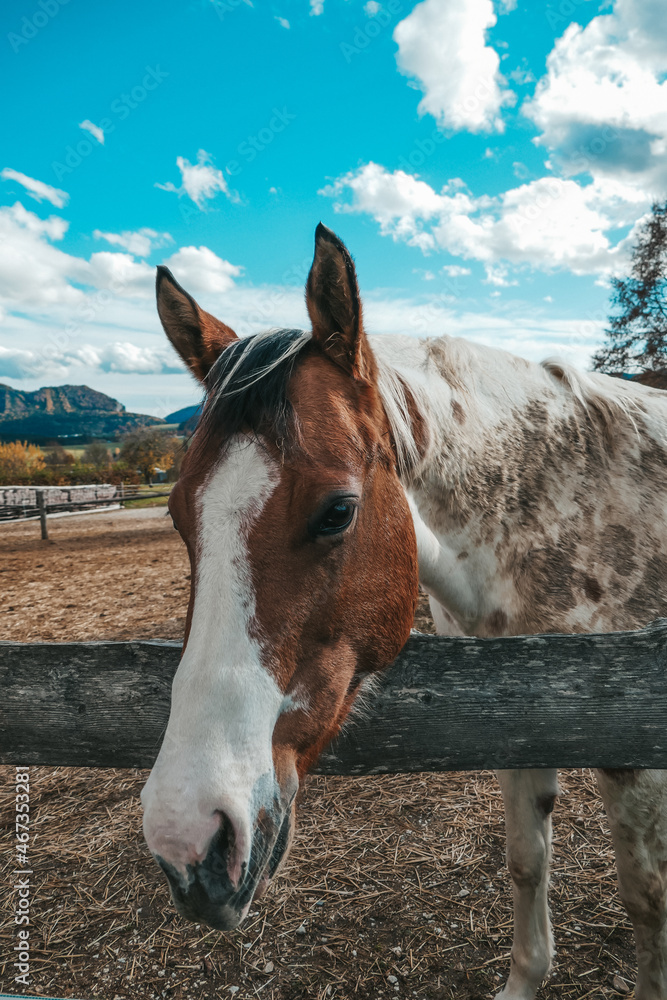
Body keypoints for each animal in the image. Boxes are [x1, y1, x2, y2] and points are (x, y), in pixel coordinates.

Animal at [141, 227, 667, 1000]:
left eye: (337, 511)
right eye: (179, 516)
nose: (187, 836)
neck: (567, 515)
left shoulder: (632, 757)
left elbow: (644, 896)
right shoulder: (521, 720)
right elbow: (524, 858)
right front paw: (524, 979)